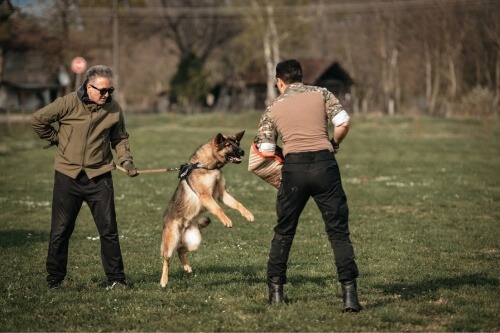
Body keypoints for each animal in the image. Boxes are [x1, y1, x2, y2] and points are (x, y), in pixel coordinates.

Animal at [160, 131, 254, 286]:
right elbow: (218, 209)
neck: (208, 166)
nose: (242, 151)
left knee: (180, 250)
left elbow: (238, 204)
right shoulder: (206, 196)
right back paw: (163, 281)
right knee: (167, 259)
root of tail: (184, 227)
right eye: (228, 145)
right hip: (171, 242)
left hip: (194, 242)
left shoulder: (222, 194)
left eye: (237, 143)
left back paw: (187, 267)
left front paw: (248, 215)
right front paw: (226, 220)